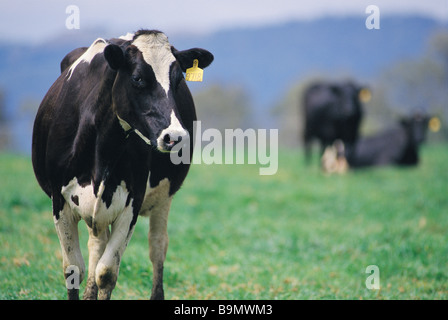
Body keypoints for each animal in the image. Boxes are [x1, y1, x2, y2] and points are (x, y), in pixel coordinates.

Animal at [31, 30, 214, 300]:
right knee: (96, 245)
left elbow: (106, 272)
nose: (175, 136)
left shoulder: (132, 202)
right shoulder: (59, 200)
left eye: (179, 79)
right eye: (137, 78)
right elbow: (73, 269)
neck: (102, 147)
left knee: (157, 246)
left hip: (163, 198)